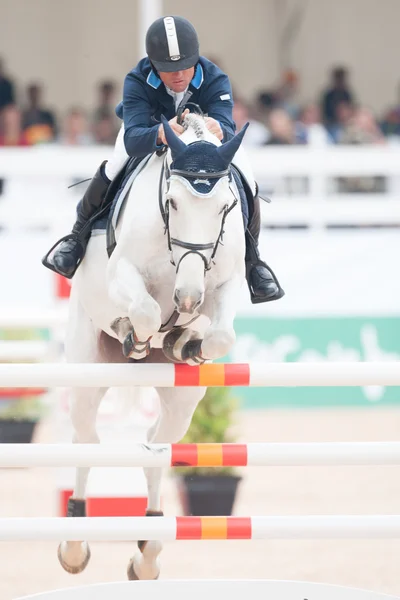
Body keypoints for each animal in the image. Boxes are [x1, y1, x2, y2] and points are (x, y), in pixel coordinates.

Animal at [57, 111, 248, 576]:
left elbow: (221, 334)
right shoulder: (123, 272)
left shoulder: (224, 284)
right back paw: (74, 545)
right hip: (87, 371)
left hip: (182, 400)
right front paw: (136, 334)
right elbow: (143, 311)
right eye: (173, 202)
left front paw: (187, 342)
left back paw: (147, 551)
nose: (188, 299)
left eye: (225, 206)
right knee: (86, 441)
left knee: (155, 446)